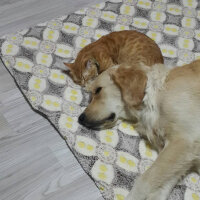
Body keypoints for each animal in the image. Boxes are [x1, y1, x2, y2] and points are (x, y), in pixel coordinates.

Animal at [78, 60, 200, 199]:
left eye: (98, 90)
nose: (80, 118)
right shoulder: (182, 156)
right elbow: (161, 187)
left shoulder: (184, 140)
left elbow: (144, 181)